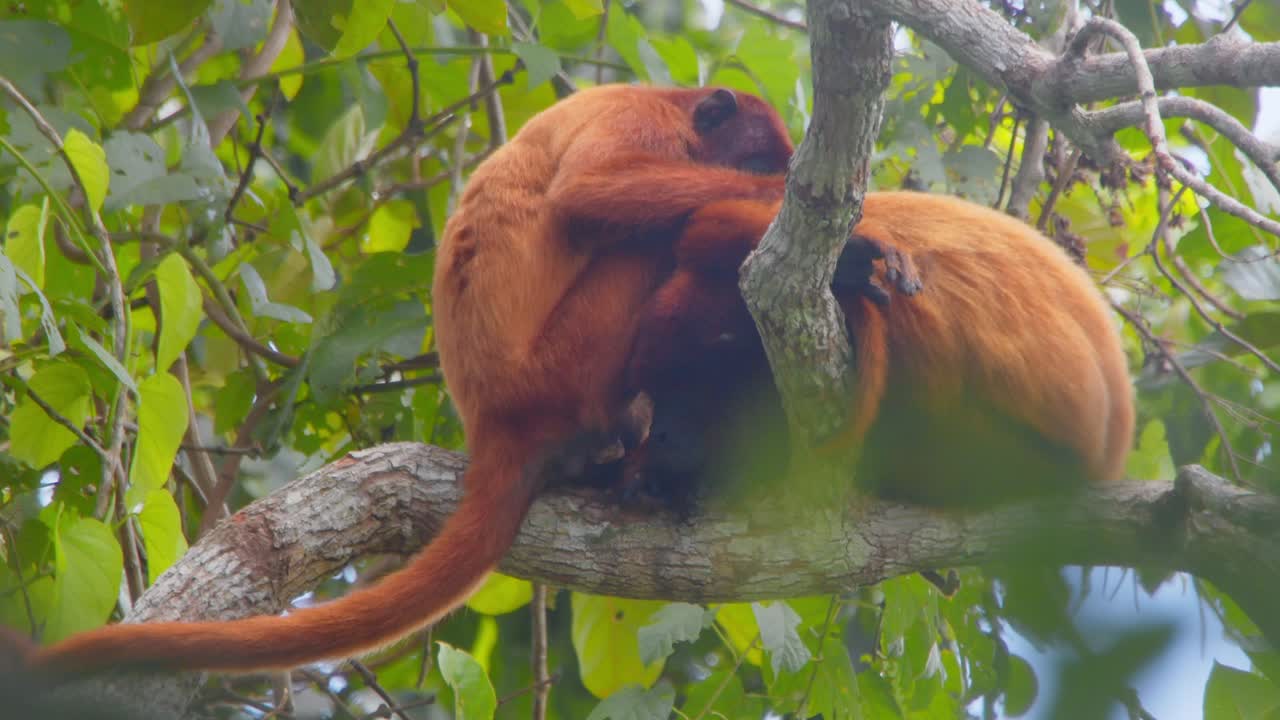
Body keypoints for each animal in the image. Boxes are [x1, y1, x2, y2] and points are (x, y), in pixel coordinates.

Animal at [4, 84, 805, 679]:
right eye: (757, 154)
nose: (775, 170)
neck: (676, 102)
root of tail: (496, 422)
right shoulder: (642, 122)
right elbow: (590, 191)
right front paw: (779, 198)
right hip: (570, 360)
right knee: (643, 241)